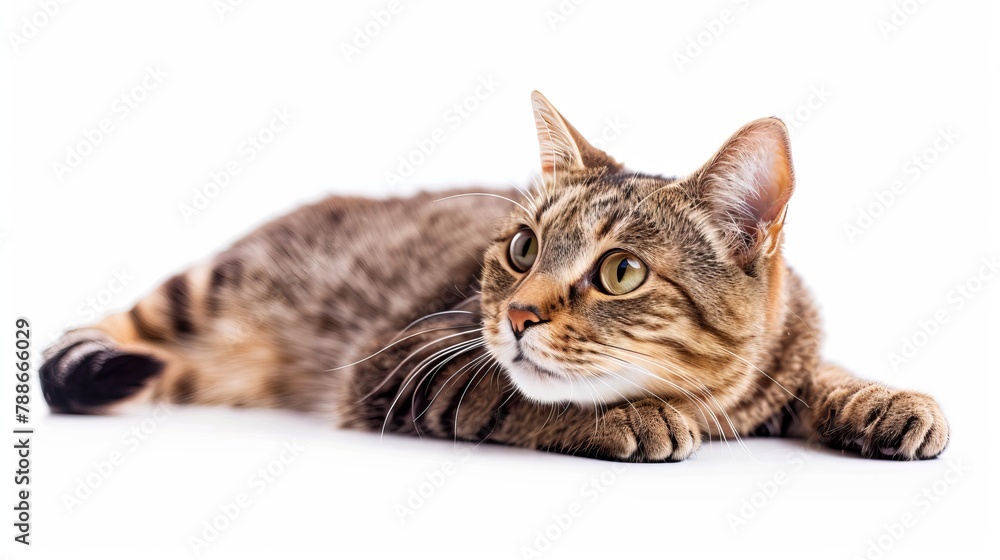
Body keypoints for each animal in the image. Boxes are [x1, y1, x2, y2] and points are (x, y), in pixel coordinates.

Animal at [39, 91, 948, 460]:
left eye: (620, 271)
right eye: (520, 249)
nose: (517, 315)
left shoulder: (793, 352)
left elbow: (825, 373)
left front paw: (883, 401)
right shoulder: (407, 363)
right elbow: (512, 398)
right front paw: (628, 416)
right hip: (208, 287)